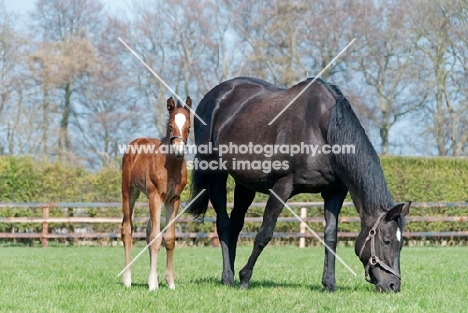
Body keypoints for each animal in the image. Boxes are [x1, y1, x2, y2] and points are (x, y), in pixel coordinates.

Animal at [121, 96, 193, 288]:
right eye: (170, 126)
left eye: (189, 127)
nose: (179, 151)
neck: (171, 166)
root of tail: (136, 142)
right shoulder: (155, 196)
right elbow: (156, 237)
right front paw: (153, 283)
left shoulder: (173, 199)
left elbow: (169, 238)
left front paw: (170, 282)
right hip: (129, 192)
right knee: (127, 230)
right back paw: (127, 279)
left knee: (147, 230)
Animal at [189, 77, 410, 292]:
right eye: (386, 240)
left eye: (401, 245)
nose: (393, 285)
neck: (322, 130)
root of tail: (213, 96)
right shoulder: (281, 187)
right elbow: (264, 233)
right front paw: (245, 278)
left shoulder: (334, 192)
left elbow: (331, 236)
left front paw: (329, 284)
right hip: (216, 174)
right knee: (223, 224)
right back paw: (228, 277)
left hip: (245, 184)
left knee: (236, 224)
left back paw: (231, 275)